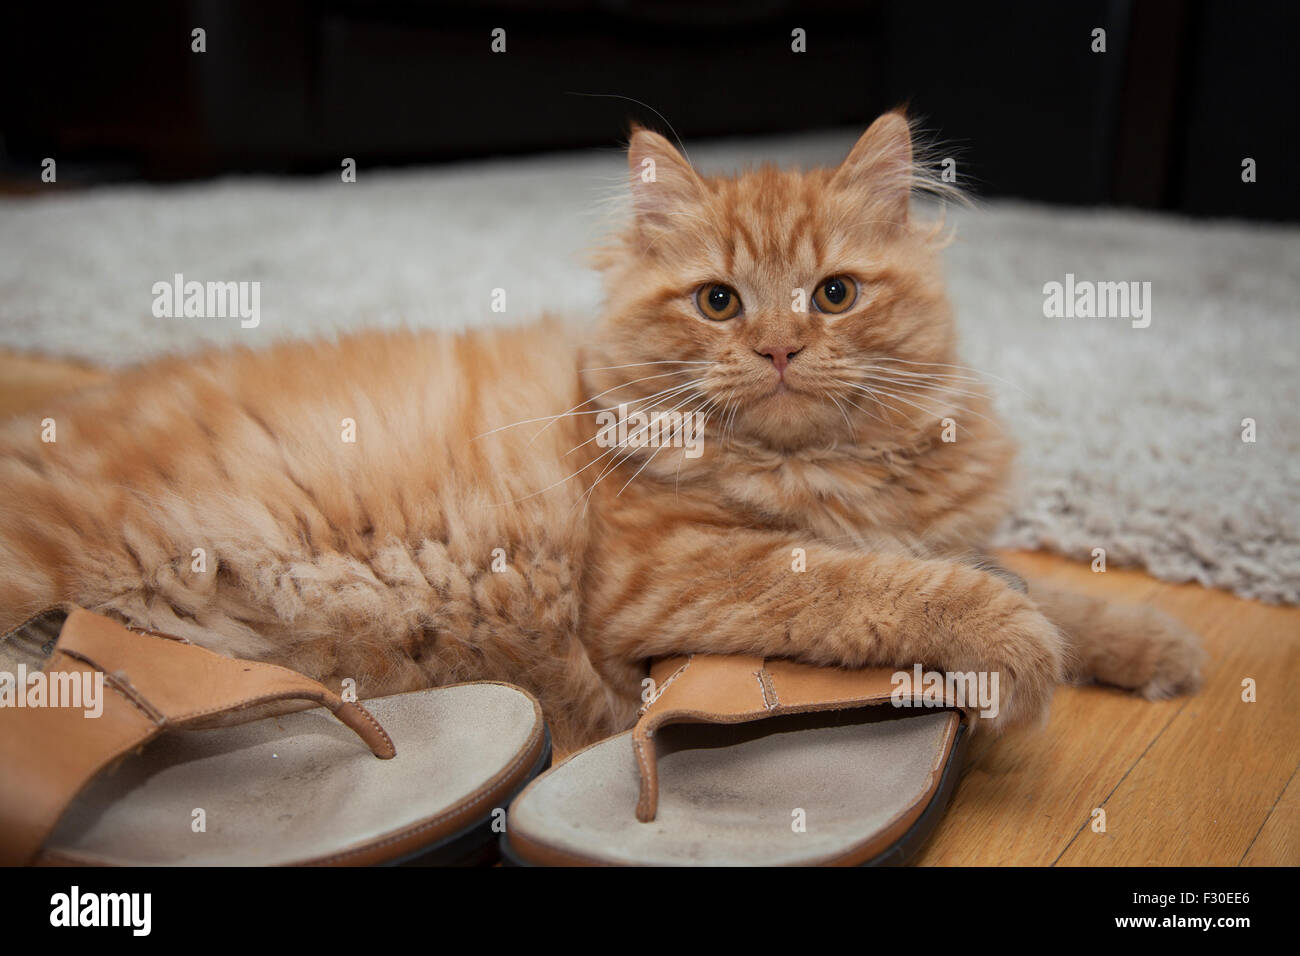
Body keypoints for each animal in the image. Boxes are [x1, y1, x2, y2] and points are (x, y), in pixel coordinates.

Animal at [0, 115, 1201, 749]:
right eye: (719, 302)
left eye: (834, 295)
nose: (779, 348)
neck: (822, 471)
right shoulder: (659, 573)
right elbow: (894, 588)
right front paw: (1020, 655)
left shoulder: (939, 532)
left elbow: (1053, 590)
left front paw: (1158, 649)